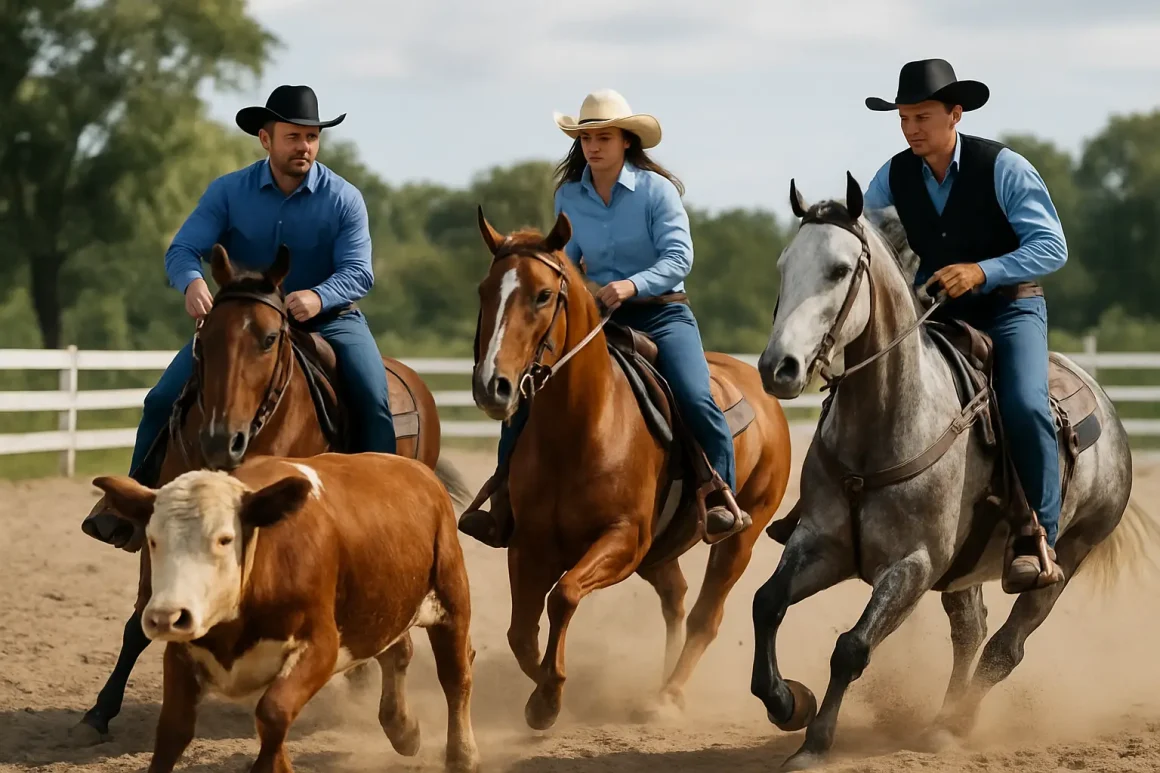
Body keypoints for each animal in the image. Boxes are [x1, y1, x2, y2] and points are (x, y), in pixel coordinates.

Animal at [471, 208, 793, 730]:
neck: (580, 428)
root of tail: (761, 390)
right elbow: (520, 632)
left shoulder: (623, 539)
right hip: (659, 552)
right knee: (676, 597)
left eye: (543, 295)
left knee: (706, 615)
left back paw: (667, 695)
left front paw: (548, 696)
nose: (491, 386)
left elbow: (563, 595)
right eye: (485, 290)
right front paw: (544, 689)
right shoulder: (528, 544)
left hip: (739, 536)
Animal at [749, 173, 1148, 770]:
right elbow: (767, 603)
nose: (779, 368)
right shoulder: (821, 543)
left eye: (840, 270)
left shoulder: (913, 566)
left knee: (1005, 648)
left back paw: (950, 725)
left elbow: (851, 647)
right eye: (782, 265)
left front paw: (815, 742)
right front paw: (786, 702)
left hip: (1068, 555)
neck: (886, 424)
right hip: (963, 570)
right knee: (971, 631)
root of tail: (1106, 408)